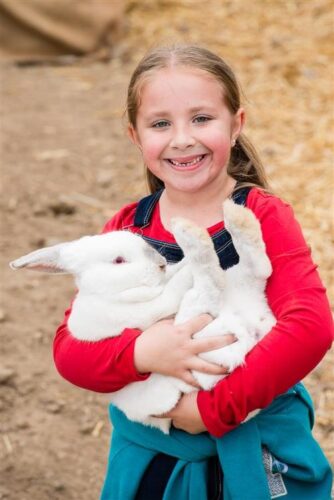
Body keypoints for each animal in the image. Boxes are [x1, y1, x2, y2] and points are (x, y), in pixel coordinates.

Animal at [10, 199, 276, 434]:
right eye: (119, 260)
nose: (160, 264)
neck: (110, 293)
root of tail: (253, 329)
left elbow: (175, 274)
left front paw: (178, 264)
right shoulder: (146, 308)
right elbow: (173, 289)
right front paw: (183, 268)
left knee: (257, 270)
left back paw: (232, 216)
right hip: (199, 330)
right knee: (212, 284)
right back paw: (192, 231)